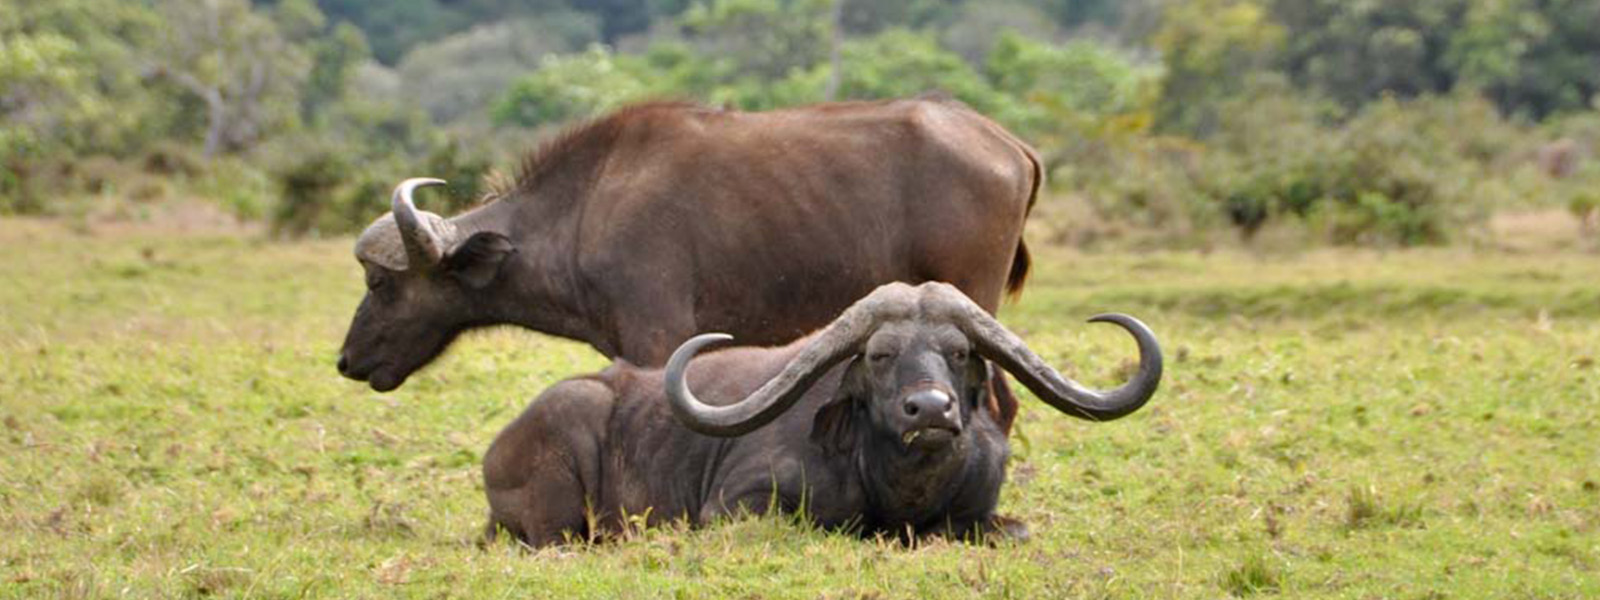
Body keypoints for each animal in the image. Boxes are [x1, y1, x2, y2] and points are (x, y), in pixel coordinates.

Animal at [476, 284, 1164, 547]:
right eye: (880, 354)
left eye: (960, 352)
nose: (930, 409)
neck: (899, 492)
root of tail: (496, 453)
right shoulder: (735, 505)